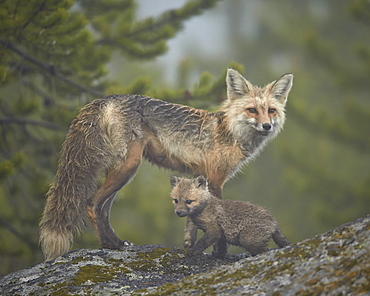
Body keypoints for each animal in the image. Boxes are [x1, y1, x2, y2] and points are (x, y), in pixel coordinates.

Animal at [39, 68, 294, 260]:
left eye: (271, 111)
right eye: (252, 110)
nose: (267, 126)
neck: (229, 132)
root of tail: (105, 98)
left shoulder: (199, 182)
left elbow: (191, 223)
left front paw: (190, 248)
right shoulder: (215, 179)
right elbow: (217, 219)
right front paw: (219, 253)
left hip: (124, 172)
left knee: (103, 209)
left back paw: (115, 242)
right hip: (128, 167)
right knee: (92, 204)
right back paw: (109, 245)